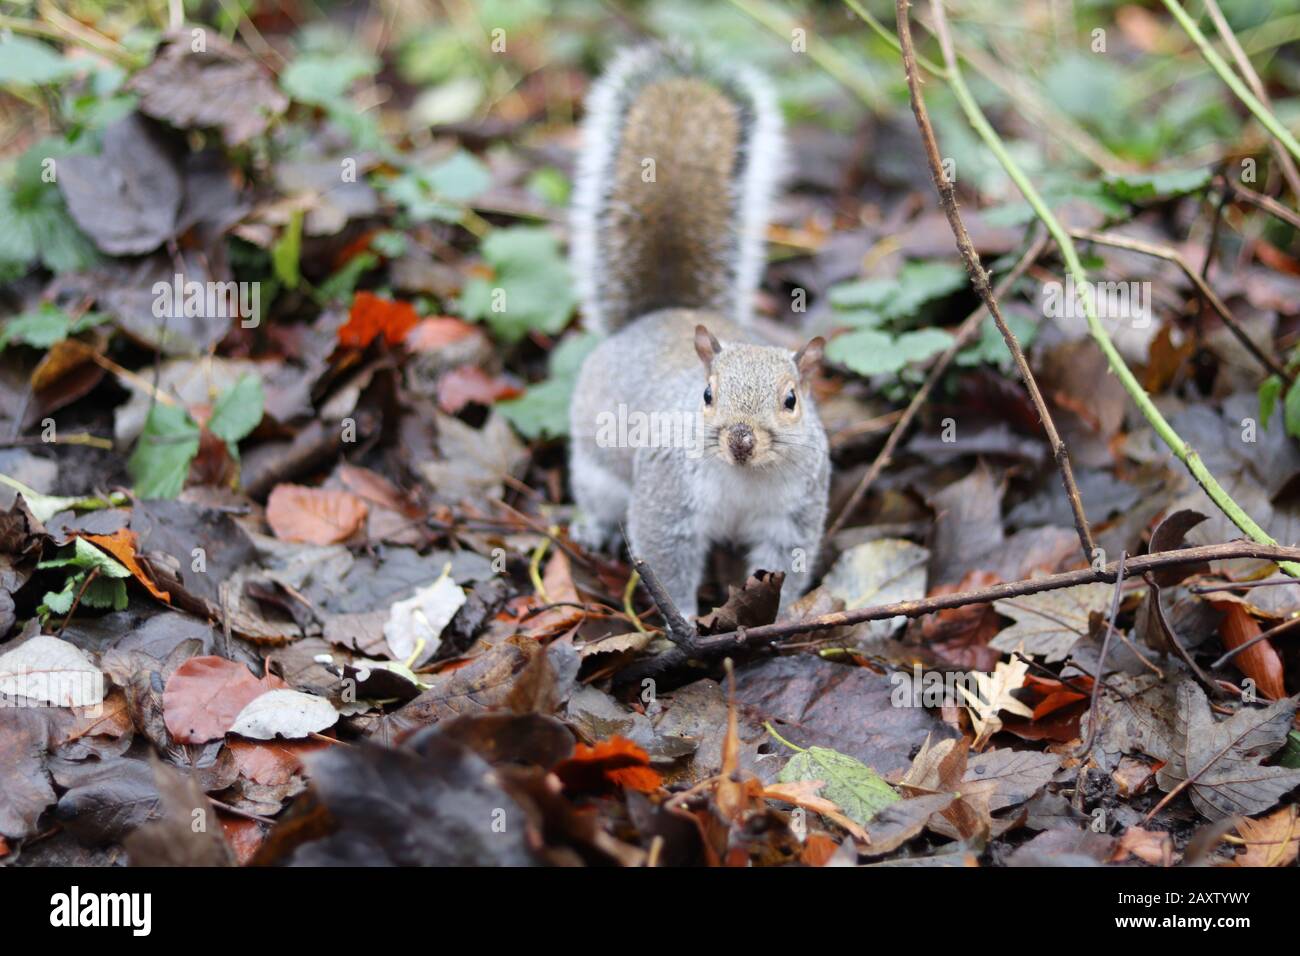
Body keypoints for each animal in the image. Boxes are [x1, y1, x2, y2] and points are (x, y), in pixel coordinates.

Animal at [569, 44, 832, 616]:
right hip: (595, 467)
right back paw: (594, 528)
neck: (744, 477)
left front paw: (778, 616)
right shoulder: (668, 496)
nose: (740, 440)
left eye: (792, 400)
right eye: (707, 394)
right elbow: (665, 558)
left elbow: (787, 561)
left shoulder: (792, 515)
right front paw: (687, 617)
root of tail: (664, 311)